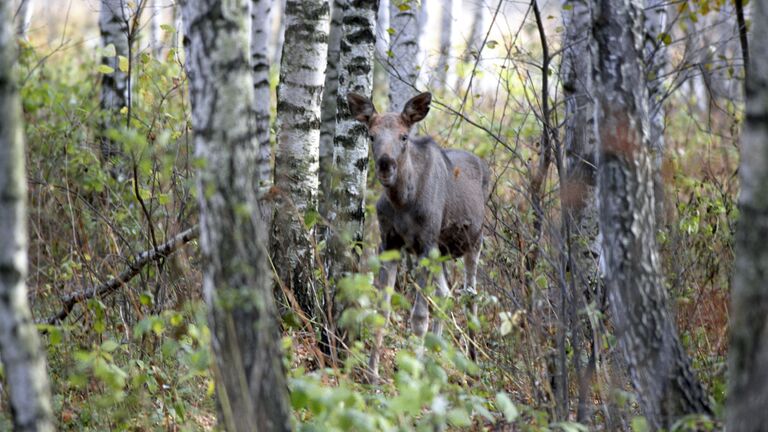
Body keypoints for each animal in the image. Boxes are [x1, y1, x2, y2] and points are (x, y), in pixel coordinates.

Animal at [348, 92, 492, 382]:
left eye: (404, 136)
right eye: (371, 135)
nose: (385, 165)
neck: (403, 201)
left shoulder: (426, 244)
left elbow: (418, 316)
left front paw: (412, 374)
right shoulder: (389, 243)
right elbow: (383, 310)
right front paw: (372, 374)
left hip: (475, 241)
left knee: (470, 295)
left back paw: (472, 362)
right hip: (442, 251)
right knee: (445, 292)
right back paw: (434, 357)